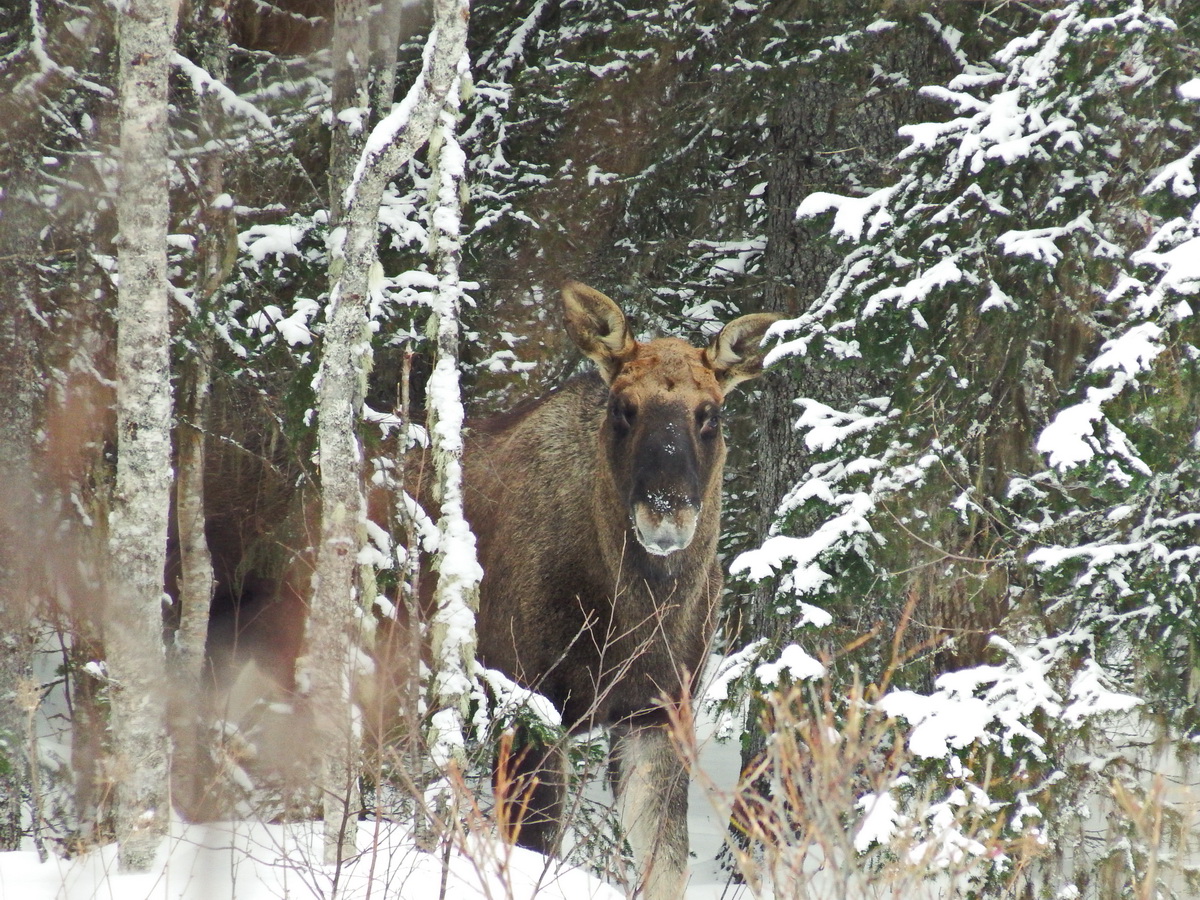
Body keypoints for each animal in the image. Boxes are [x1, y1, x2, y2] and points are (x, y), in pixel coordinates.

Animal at [453, 283, 782, 900]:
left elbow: (666, 862)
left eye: (712, 413)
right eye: (622, 407)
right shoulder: (527, 700)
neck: (631, 616)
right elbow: (532, 849)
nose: (666, 512)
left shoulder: (656, 713)